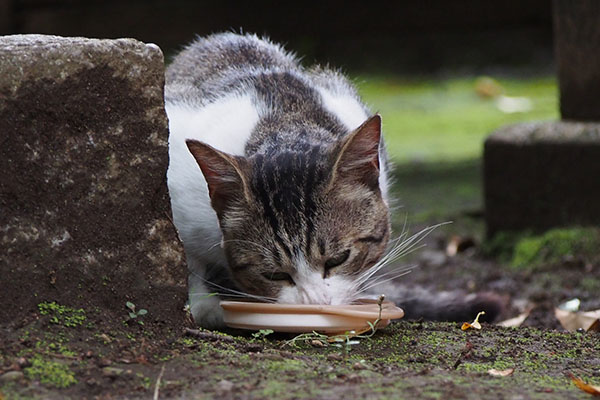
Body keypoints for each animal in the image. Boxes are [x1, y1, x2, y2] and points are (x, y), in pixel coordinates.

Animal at [165, 32, 502, 328]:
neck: (283, 125)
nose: (316, 303)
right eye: (273, 274)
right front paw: (204, 306)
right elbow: (188, 261)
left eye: (339, 259)